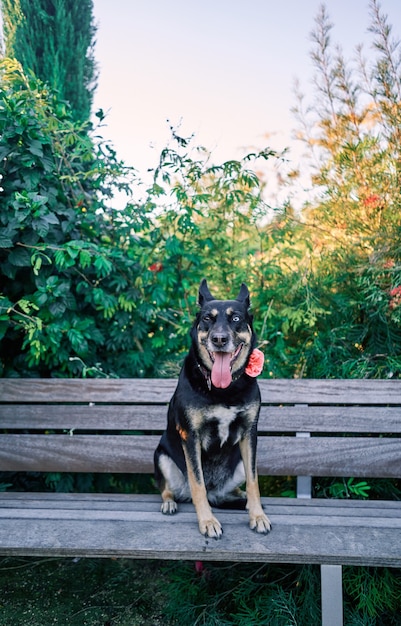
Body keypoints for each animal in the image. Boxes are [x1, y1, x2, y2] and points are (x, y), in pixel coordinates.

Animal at [155, 278, 270, 536]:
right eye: (207, 318)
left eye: (235, 318)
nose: (219, 339)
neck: (222, 389)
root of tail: (217, 493)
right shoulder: (190, 436)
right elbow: (198, 484)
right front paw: (207, 522)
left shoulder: (249, 434)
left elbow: (254, 481)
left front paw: (257, 515)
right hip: (161, 456)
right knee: (169, 489)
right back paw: (169, 503)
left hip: (239, 462)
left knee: (238, 486)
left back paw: (239, 497)